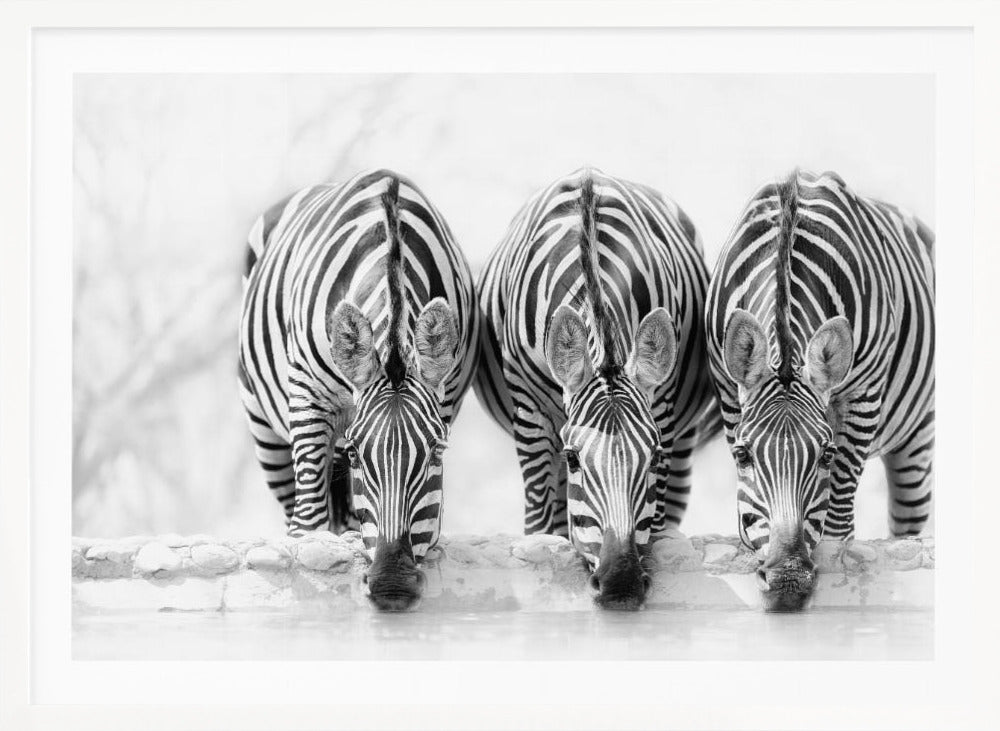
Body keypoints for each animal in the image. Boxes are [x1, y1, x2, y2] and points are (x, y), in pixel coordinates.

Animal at [239, 169, 479, 611]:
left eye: (437, 452)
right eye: (355, 454)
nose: (392, 586)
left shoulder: (446, 396)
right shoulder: (308, 396)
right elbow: (309, 524)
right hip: (264, 429)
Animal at [474, 168, 716, 610]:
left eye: (653, 457)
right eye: (573, 458)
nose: (621, 584)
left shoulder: (664, 408)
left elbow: (655, 520)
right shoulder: (530, 412)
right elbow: (540, 521)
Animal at [705, 170, 934, 611]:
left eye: (825, 453)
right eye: (742, 455)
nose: (787, 580)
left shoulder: (864, 395)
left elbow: (840, 500)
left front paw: (835, 562)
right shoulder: (728, 391)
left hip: (919, 435)